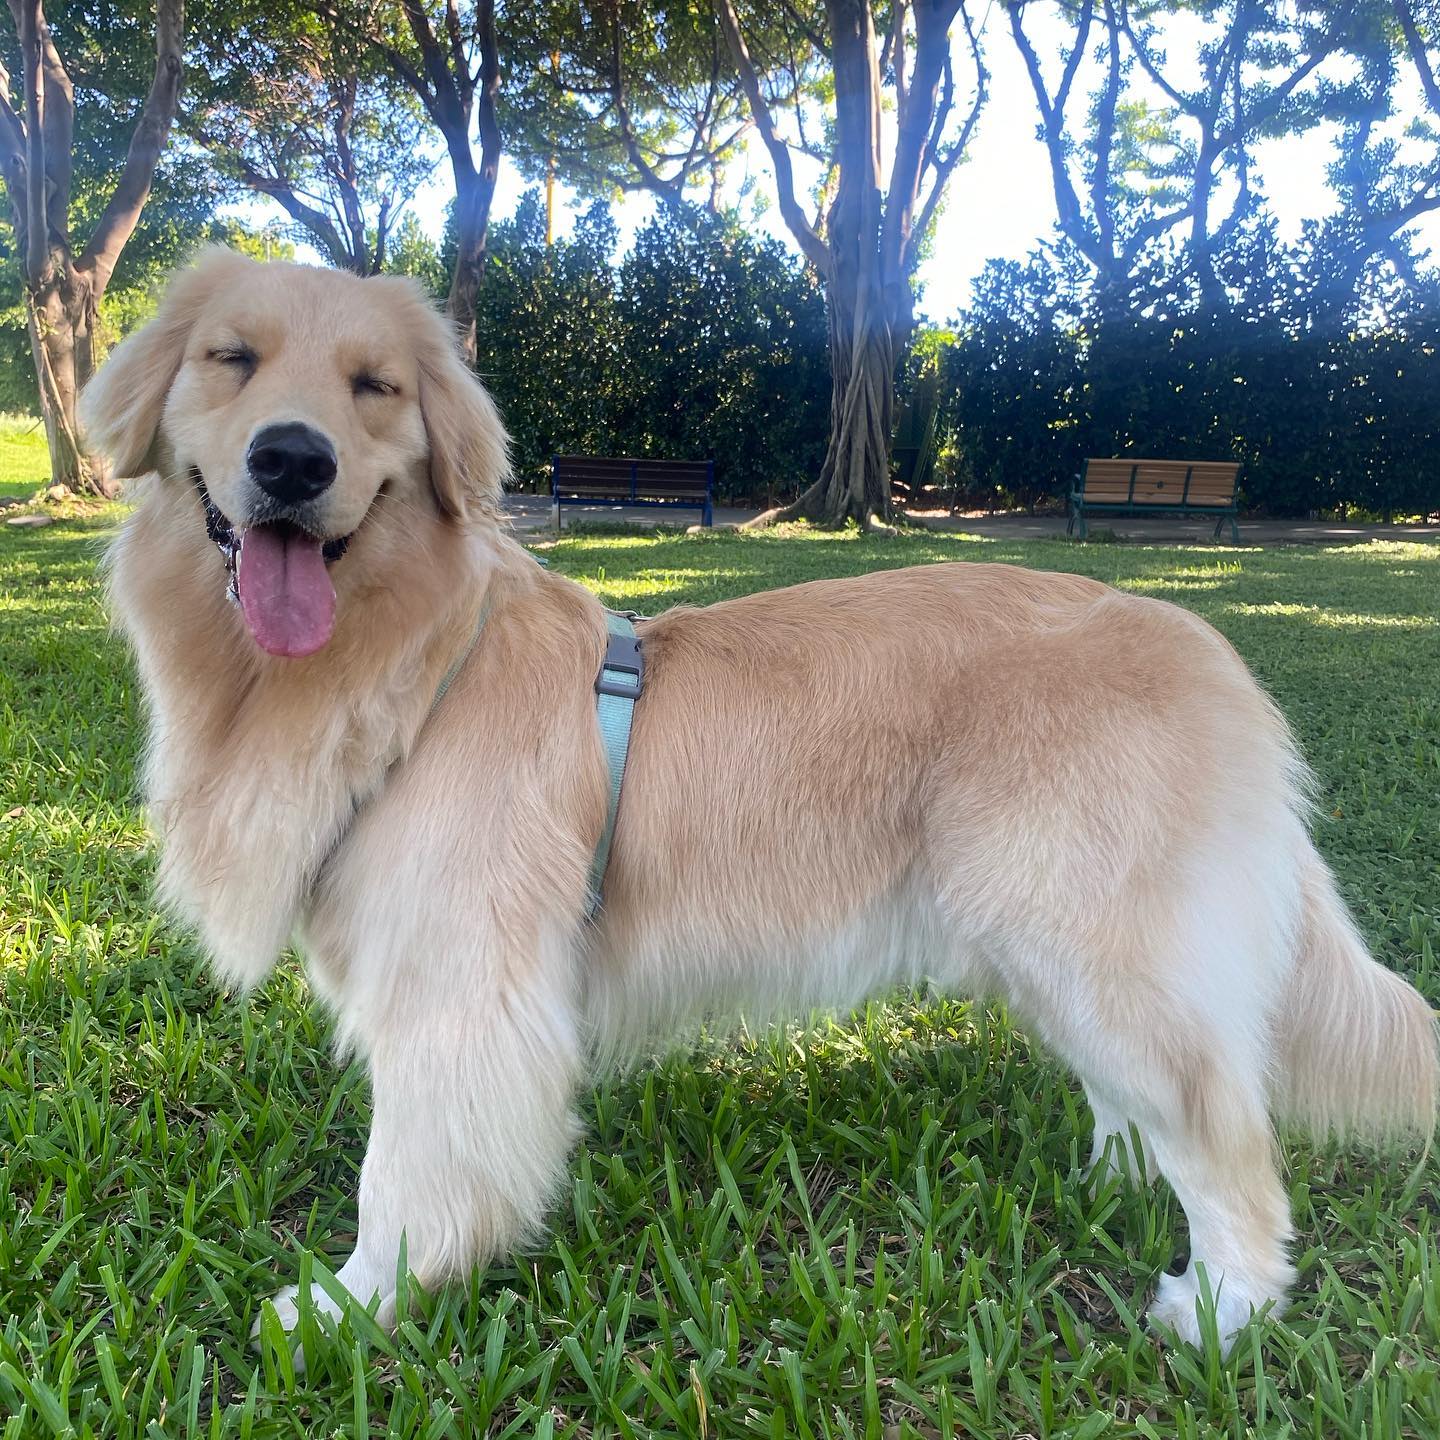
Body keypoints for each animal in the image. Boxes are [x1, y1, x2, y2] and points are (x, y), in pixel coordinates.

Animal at [81, 247, 1438, 1355]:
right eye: (232, 359)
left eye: (375, 387)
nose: (290, 460)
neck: (406, 666)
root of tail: (1215, 658)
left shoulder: (459, 990)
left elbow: (400, 1178)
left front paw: (356, 1304)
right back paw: (1108, 1177)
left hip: (1100, 942)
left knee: (1225, 1141)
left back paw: (1221, 1309)